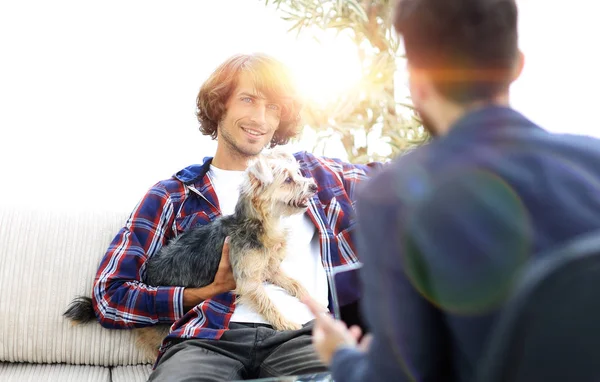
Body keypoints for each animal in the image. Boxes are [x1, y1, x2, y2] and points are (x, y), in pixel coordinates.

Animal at [63, 147, 318, 358]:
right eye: (288, 180)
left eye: (299, 174)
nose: (314, 185)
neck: (259, 225)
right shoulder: (249, 281)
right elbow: (268, 302)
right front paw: (285, 322)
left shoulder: (269, 269)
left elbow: (295, 283)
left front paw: (311, 299)